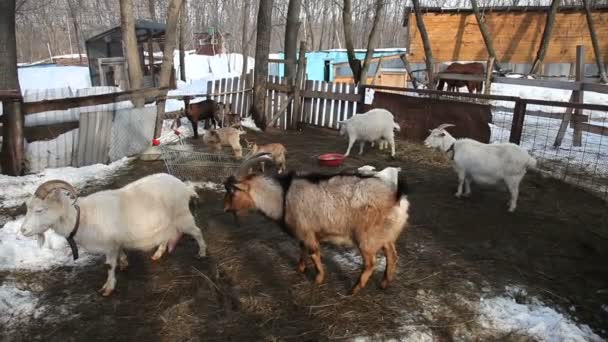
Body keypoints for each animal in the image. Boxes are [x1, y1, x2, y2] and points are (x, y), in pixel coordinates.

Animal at [20, 174, 207, 296]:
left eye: (40, 210)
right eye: (28, 208)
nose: (23, 230)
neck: (82, 217)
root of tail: (184, 187)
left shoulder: (109, 245)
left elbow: (109, 266)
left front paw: (107, 288)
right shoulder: (115, 243)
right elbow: (121, 253)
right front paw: (124, 263)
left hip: (183, 217)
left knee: (197, 232)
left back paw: (202, 253)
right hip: (165, 223)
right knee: (165, 237)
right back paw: (158, 254)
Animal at [221, 154, 410, 296]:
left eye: (232, 190)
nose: (225, 208)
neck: (282, 197)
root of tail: (397, 197)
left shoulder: (307, 231)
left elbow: (313, 252)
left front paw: (318, 279)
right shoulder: (302, 232)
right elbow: (301, 248)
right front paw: (300, 268)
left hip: (367, 237)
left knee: (370, 263)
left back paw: (353, 289)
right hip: (385, 234)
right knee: (392, 255)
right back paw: (385, 283)